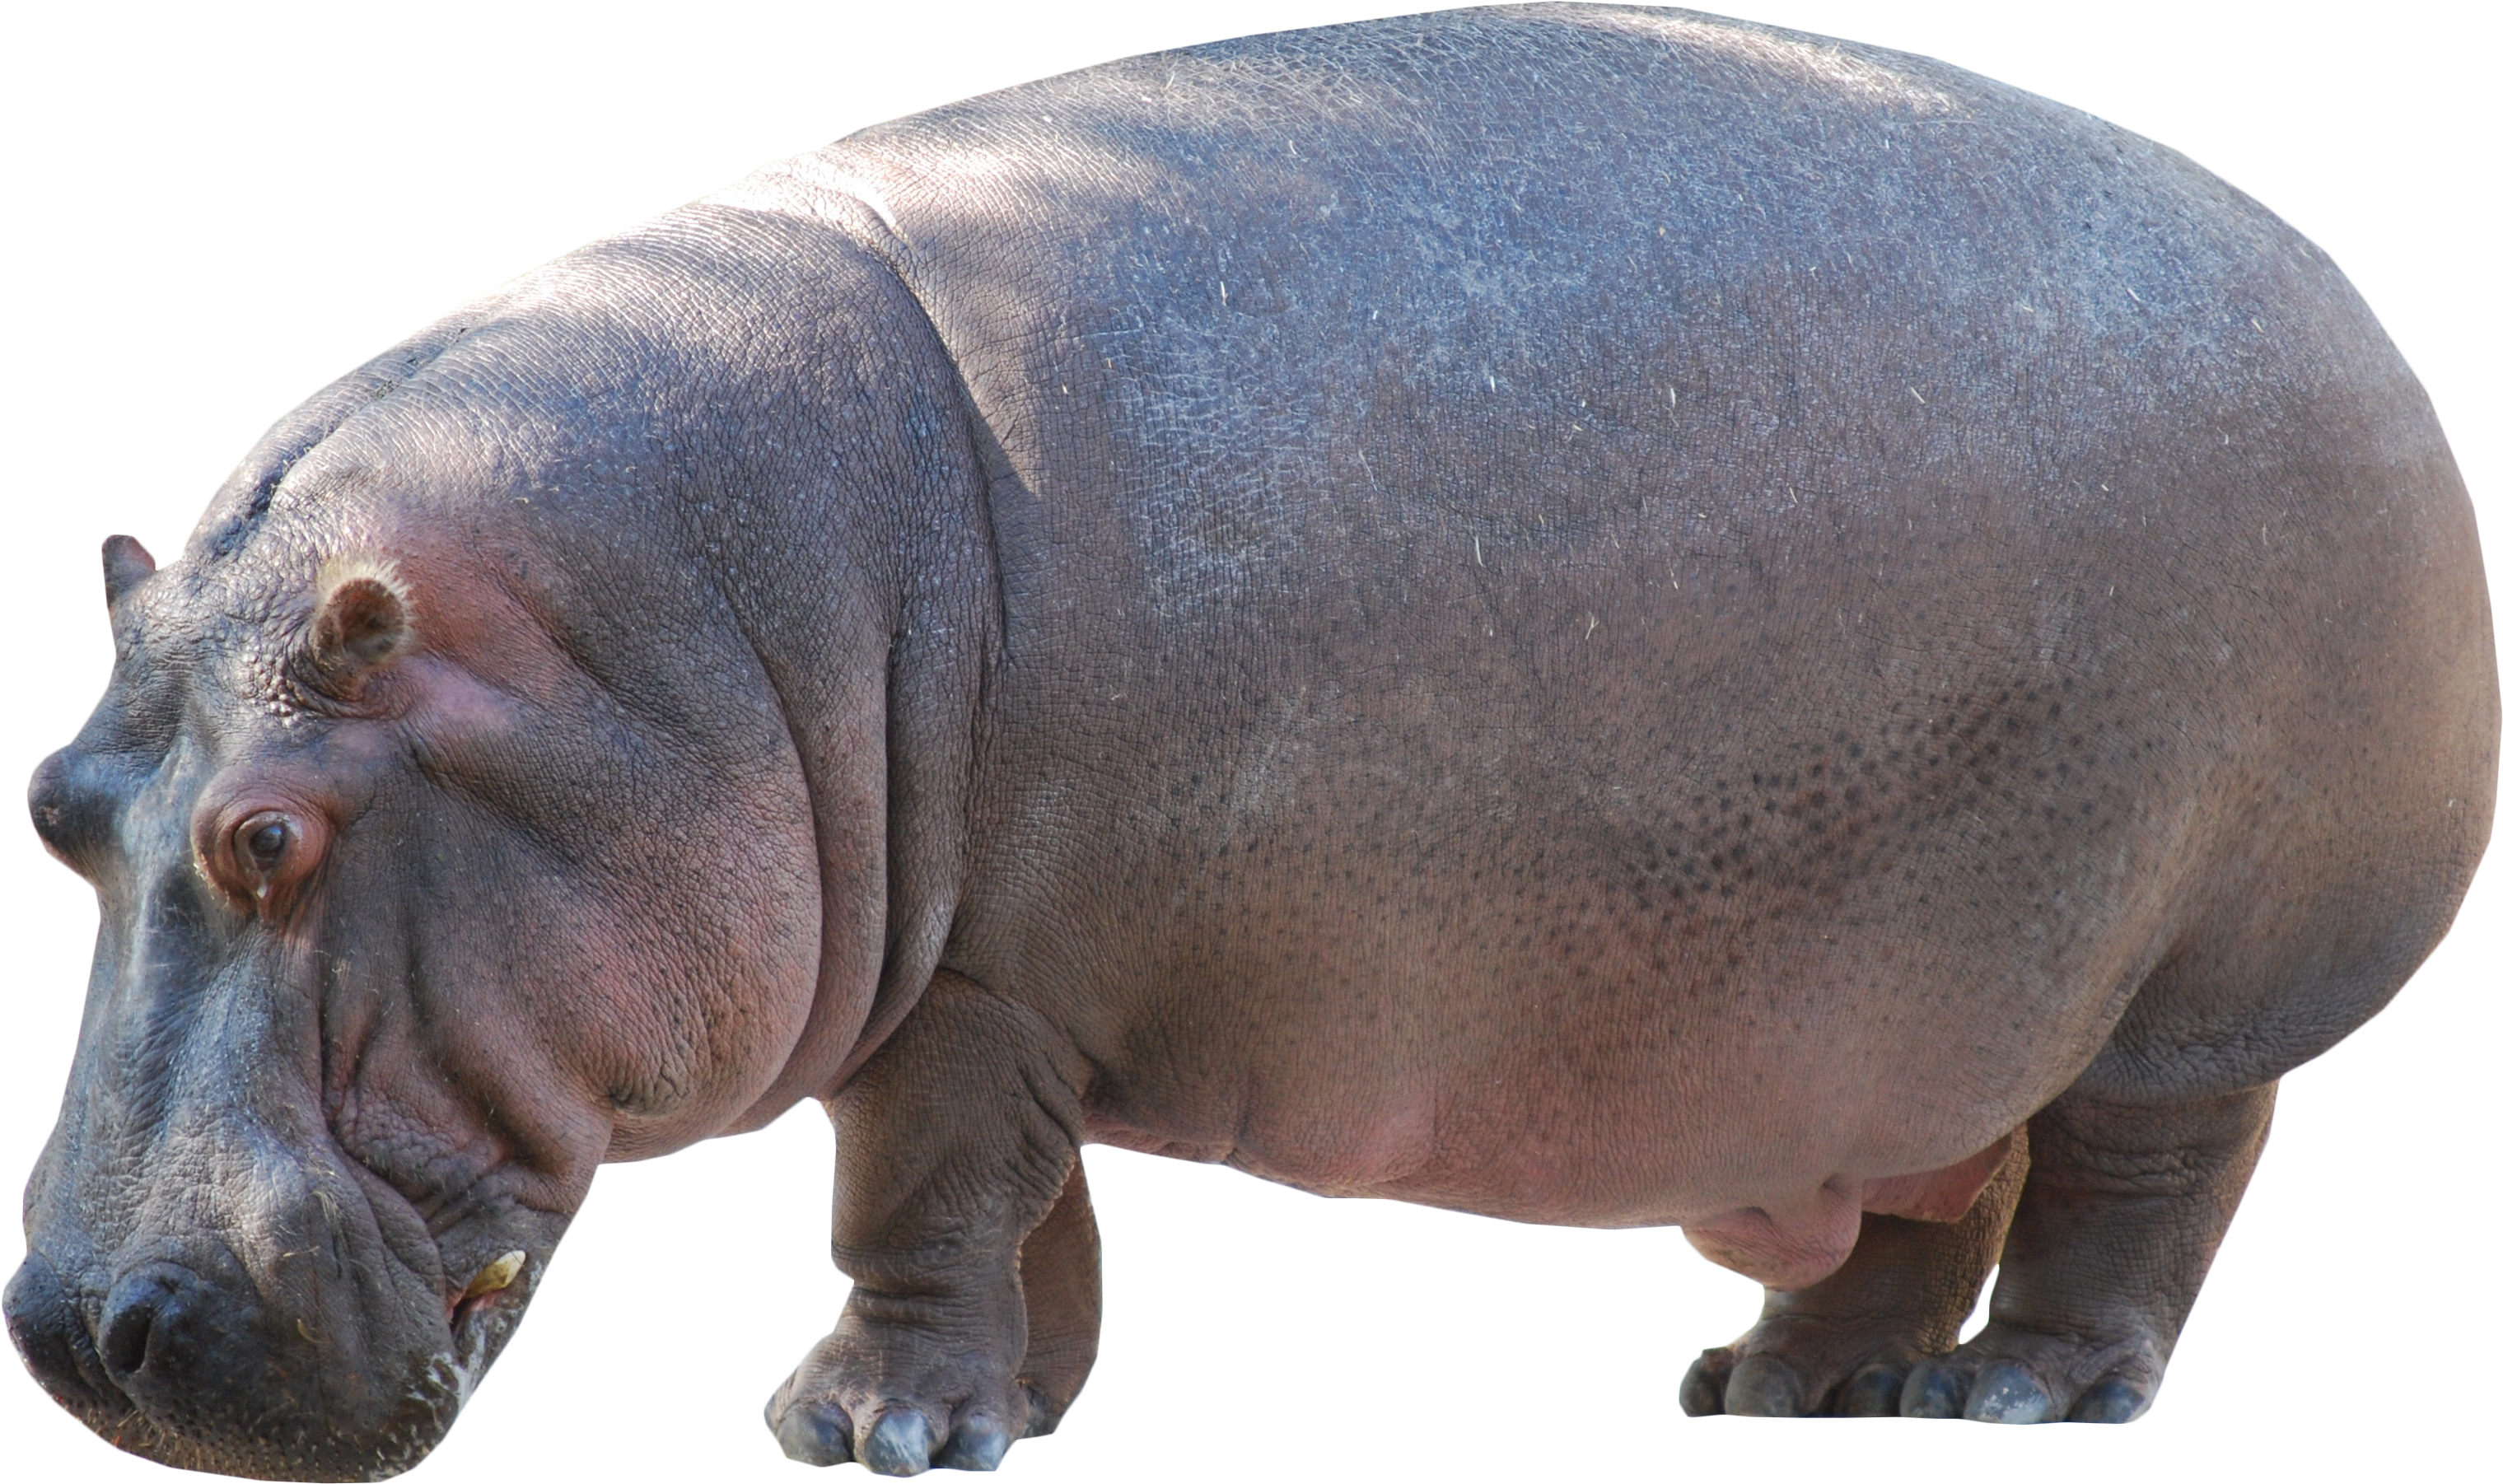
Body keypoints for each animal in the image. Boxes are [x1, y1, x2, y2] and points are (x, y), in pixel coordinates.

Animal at [10, 3, 2494, 1476]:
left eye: (271, 836)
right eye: (55, 815)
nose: (81, 1327)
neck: (659, 634)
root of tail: (2346, 300)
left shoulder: (982, 987)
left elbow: (920, 1198)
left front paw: (860, 1429)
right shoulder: (994, 982)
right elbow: (1016, 1220)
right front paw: (991, 1413)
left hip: (2194, 981)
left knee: (2135, 1186)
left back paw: (2020, 1389)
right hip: (1901, 1002)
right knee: (1916, 1187)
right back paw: (1784, 1384)